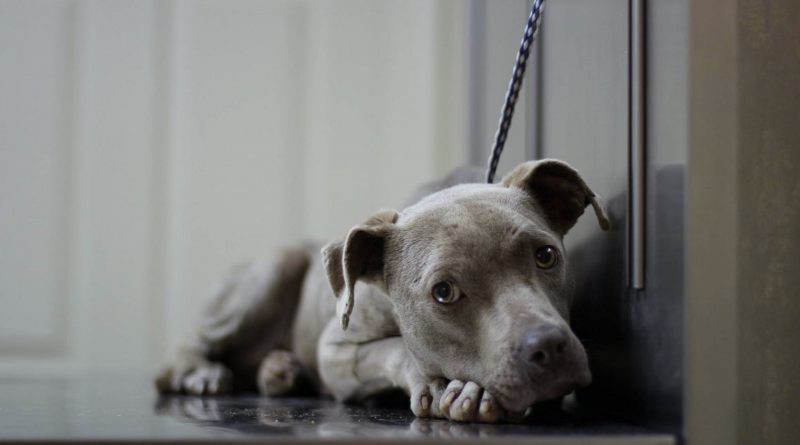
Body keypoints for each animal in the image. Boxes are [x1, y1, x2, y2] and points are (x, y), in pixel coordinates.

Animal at [155, 160, 608, 424]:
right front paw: (450, 387)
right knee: (192, 344)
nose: (547, 347)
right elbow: (396, 348)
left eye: (546, 255)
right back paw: (201, 372)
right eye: (443, 292)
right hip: (274, 271)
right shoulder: (335, 349)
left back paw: (279, 370)